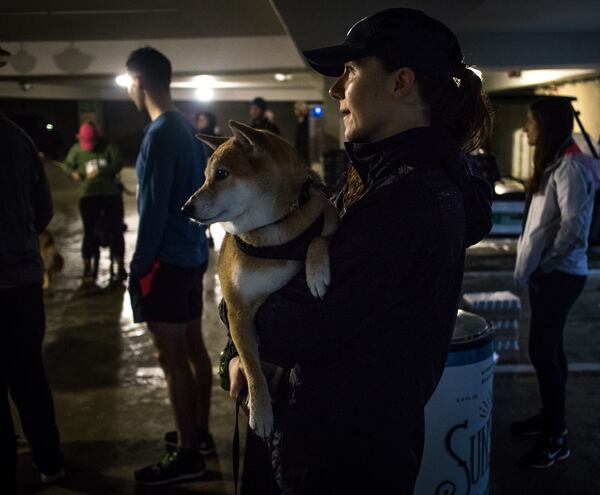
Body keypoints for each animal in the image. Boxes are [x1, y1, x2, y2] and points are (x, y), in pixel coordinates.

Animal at [183, 122, 338, 440]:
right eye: (205, 176)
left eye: (221, 174)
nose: (185, 208)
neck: (275, 232)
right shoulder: (238, 310)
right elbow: (251, 367)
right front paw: (261, 411)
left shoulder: (329, 217)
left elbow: (318, 238)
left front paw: (316, 273)